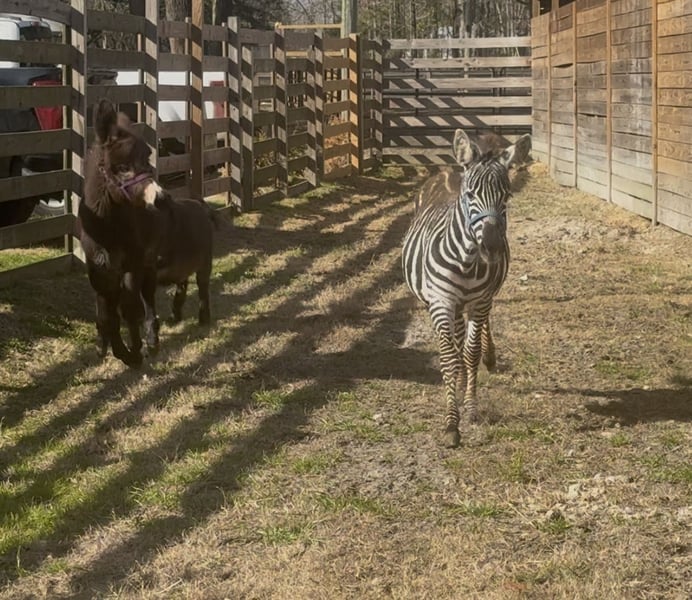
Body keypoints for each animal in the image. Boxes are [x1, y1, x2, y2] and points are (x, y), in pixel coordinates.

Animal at [402, 129, 530, 447]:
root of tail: (448, 169)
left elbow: (470, 353)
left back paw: (487, 358)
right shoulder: (441, 302)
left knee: (477, 332)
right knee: (457, 339)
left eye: (507, 196)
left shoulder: (480, 301)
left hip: (479, 300)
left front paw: (470, 408)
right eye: (470, 195)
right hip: (447, 303)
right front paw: (451, 423)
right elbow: (449, 357)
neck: (467, 261)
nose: (492, 247)